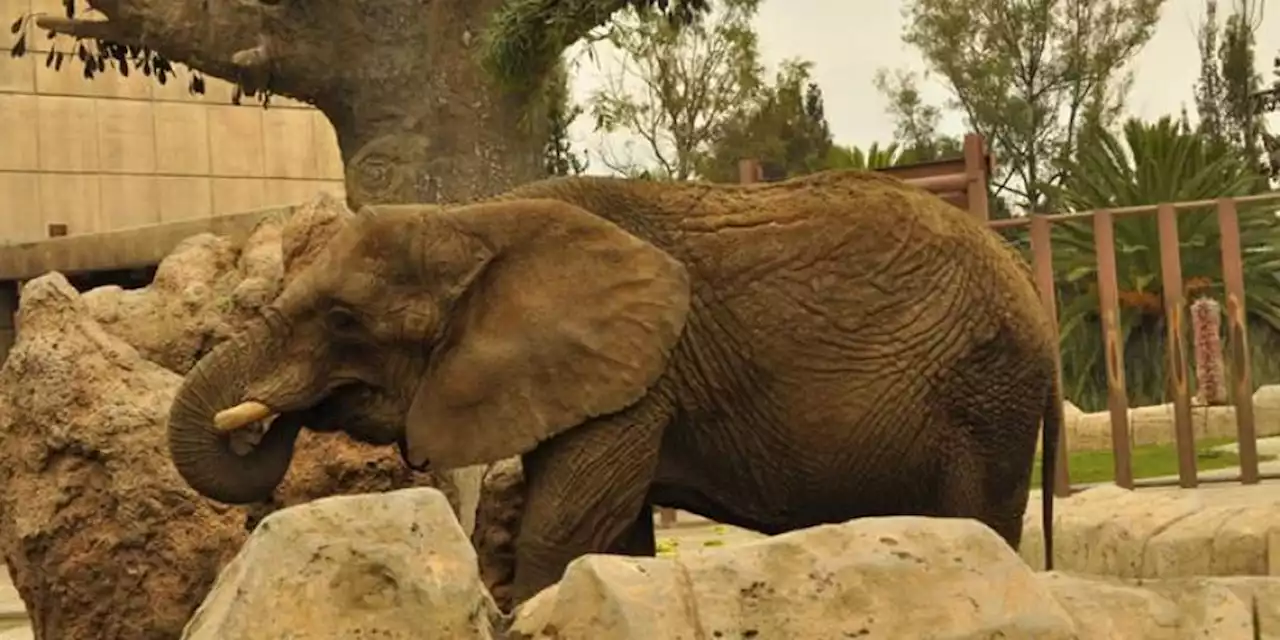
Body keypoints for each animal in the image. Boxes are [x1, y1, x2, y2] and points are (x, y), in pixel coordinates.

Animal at [167, 168, 1059, 604]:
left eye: (344, 319)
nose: (266, 422)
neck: (475, 218)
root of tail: (1036, 303)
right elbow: (612, 534)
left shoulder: (641, 378)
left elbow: (568, 521)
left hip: (986, 397)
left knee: (980, 519)